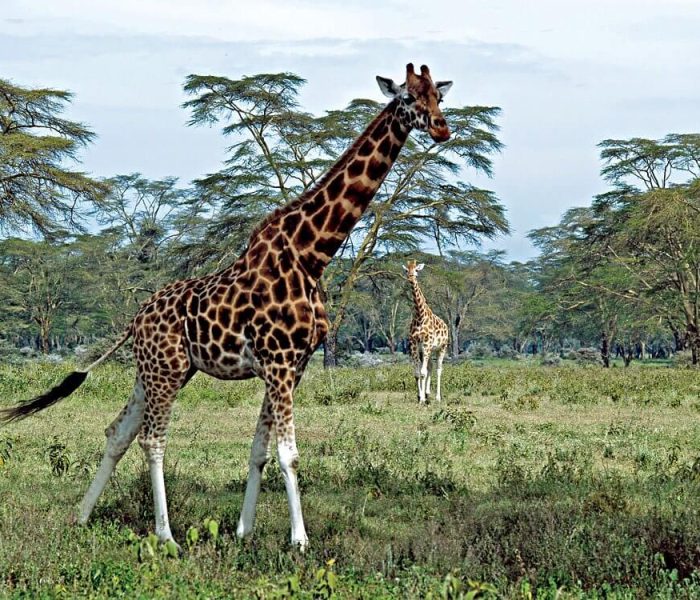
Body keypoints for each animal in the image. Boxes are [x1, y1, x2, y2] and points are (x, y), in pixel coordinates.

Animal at [405, 260, 449, 404]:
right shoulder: (414, 344)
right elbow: (418, 373)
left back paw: (437, 397)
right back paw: (428, 393)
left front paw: (422, 399)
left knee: (439, 369)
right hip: (426, 350)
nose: (411, 277)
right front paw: (420, 396)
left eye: (416, 270)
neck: (419, 316)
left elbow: (423, 373)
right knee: (430, 366)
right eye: (406, 270)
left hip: (441, 348)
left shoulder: (427, 343)